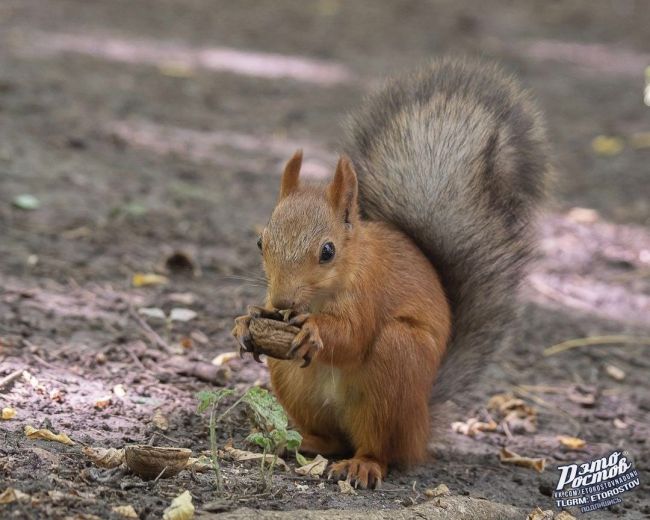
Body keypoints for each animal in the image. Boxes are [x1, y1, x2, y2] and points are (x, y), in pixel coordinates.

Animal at [233, 59, 548, 490]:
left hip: (396, 364)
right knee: (331, 438)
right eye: (260, 242)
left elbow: (353, 335)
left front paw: (314, 330)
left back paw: (362, 465)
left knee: (379, 447)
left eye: (328, 251)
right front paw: (246, 321)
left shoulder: (370, 292)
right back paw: (302, 442)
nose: (282, 302)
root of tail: (422, 424)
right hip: (294, 382)